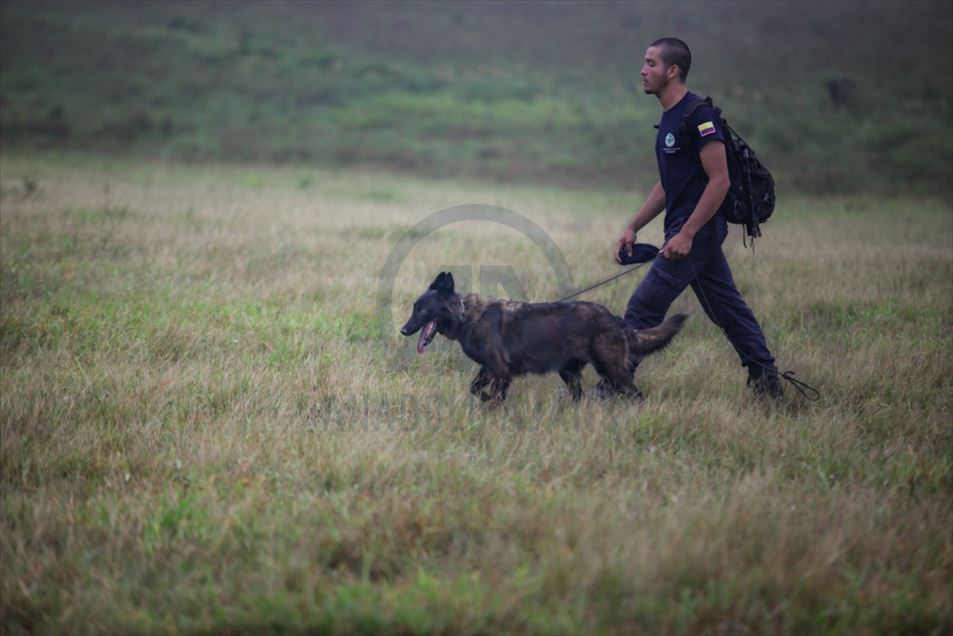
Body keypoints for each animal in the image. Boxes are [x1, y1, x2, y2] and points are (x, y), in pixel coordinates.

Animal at [400, 270, 684, 400]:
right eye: (414, 307)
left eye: (421, 309)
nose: (403, 330)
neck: (465, 314)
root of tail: (616, 320)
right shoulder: (488, 369)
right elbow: (474, 388)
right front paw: (484, 398)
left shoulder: (500, 371)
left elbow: (495, 397)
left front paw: (491, 406)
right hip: (569, 373)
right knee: (579, 396)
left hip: (612, 371)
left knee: (636, 395)